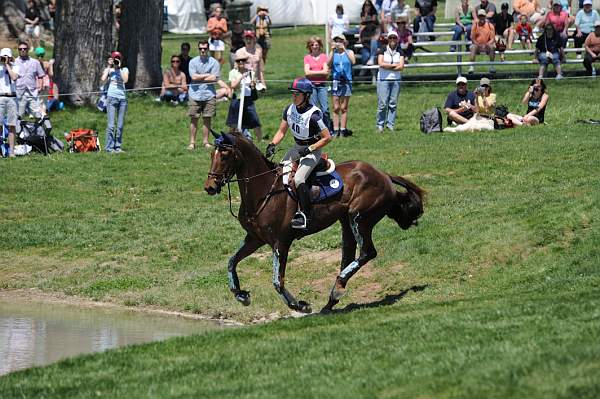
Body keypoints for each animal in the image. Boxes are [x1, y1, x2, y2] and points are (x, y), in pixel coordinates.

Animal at [204, 133, 424, 314]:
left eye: (224, 156)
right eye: (212, 155)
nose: (210, 187)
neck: (264, 191)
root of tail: (383, 175)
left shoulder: (281, 243)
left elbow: (277, 281)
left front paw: (300, 305)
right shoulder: (254, 239)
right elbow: (231, 262)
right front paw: (241, 295)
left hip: (359, 217)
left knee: (367, 252)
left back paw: (337, 289)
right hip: (346, 222)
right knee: (348, 254)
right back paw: (332, 299)